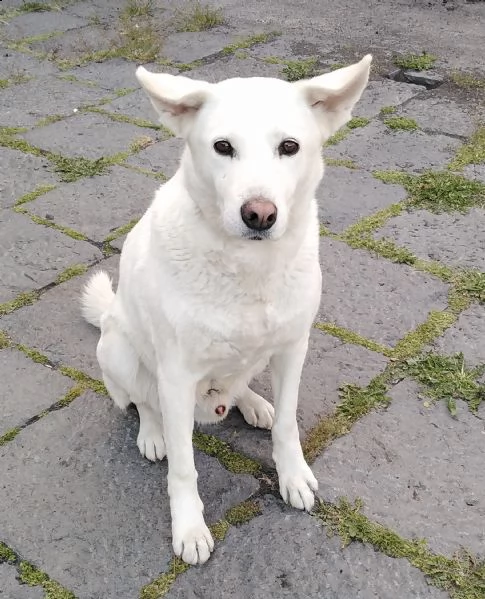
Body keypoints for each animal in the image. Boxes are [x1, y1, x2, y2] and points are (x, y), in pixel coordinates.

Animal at [82, 54, 370, 564]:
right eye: (222, 147)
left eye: (289, 147)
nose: (259, 214)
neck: (249, 268)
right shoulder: (177, 376)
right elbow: (183, 467)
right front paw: (190, 527)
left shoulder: (293, 348)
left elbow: (288, 426)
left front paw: (292, 475)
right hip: (116, 348)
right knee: (142, 401)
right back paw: (152, 433)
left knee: (239, 385)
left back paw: (253, 403)